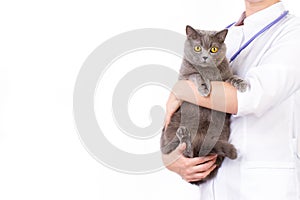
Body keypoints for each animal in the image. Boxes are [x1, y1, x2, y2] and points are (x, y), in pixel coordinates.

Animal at [161, 25, 247, 185]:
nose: (205, 57)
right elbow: (196, 75)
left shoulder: (224, 78)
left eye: (213, 49)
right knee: (187, 153)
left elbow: (232, 77)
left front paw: (242, 83)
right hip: (173, 126)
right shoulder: (184, 77)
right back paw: (184, 135)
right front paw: (204, 87)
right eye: (197, 48)